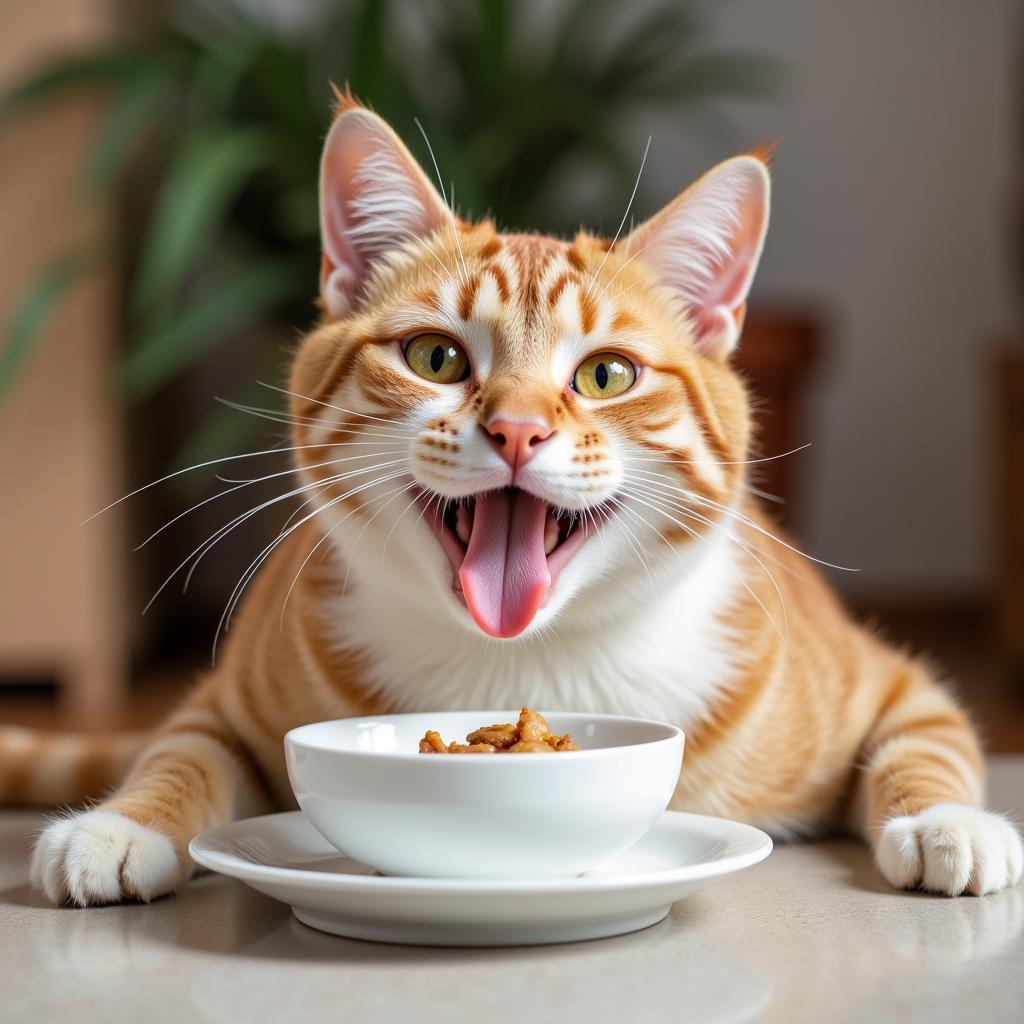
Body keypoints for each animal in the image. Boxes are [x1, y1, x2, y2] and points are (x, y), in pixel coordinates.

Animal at [6, 90, 1015, 905]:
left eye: (607, 374)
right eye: (436, 357)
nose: (519, 430)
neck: (524, 660)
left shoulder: (890, 684)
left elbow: (930, 744)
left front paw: (947, 823)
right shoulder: (223, 703)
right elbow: (179, 754)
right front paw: (122, 825)